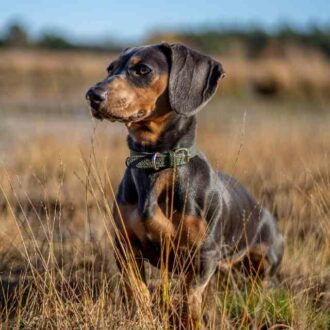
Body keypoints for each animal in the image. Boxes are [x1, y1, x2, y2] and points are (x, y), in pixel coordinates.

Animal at [85, 43, 284, 328]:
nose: (92, 95)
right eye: (110, 68)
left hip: (265, 264)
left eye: (142, 69)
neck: (156, 162)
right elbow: (139, 294)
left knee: (258, 290)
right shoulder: (125, 247)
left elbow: (189, 303)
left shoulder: (203, 257)